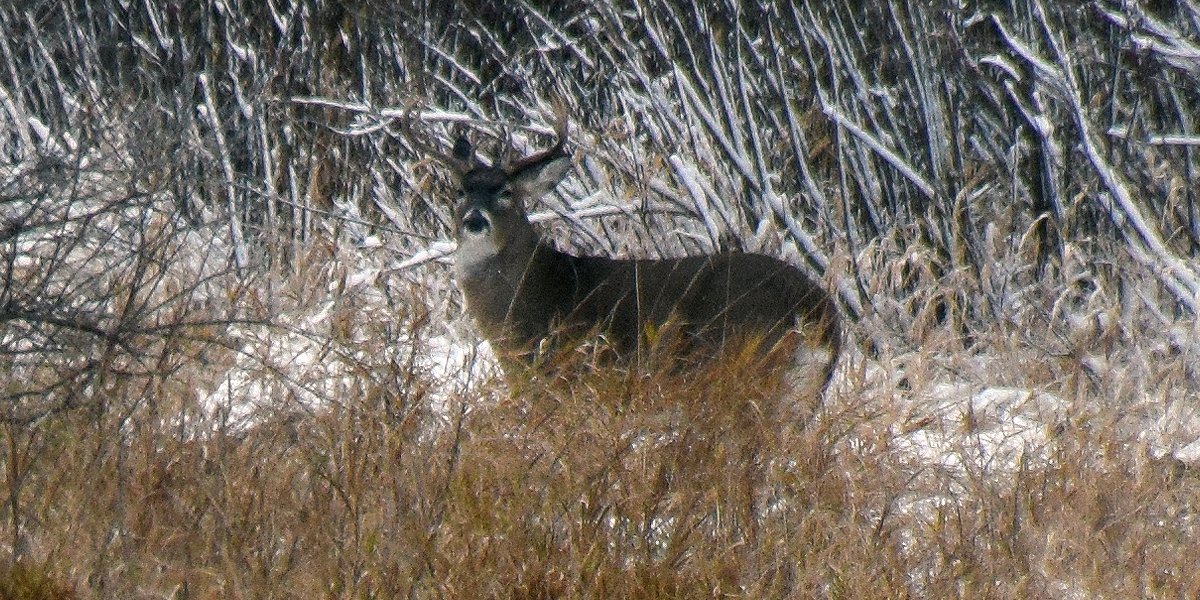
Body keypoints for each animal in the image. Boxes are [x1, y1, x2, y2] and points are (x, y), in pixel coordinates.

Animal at [442, 122, 841, 397]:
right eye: (459, 191)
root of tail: (815, 310)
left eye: (506, 192)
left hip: (738, 363)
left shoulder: (568, 379)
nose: (475, 220)